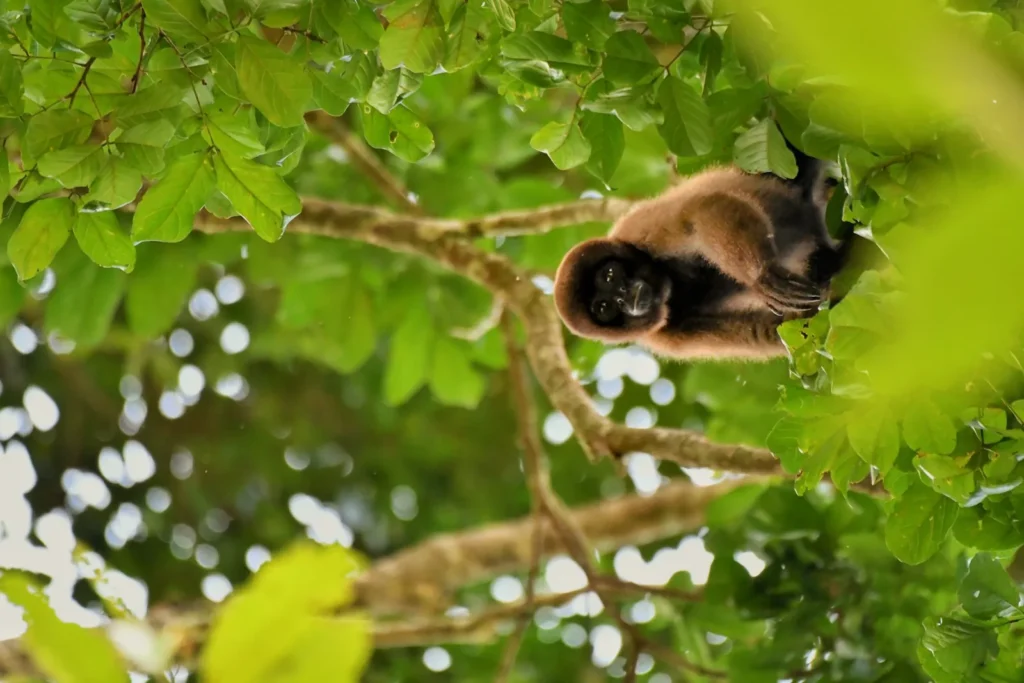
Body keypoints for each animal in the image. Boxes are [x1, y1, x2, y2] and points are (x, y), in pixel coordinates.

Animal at [552, 139, 854, 361]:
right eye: (604, 308)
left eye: (610, 275)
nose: (624, 295)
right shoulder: (664, 336)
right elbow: (771, 331)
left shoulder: (638, 228)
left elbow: (698, 210)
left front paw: (762, 274)